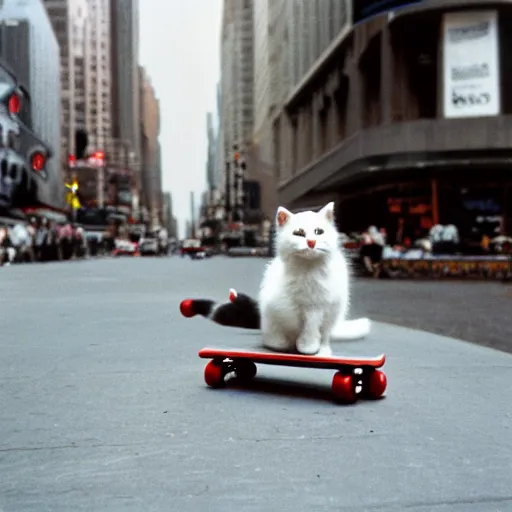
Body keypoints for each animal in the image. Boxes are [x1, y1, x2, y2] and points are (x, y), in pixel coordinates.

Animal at [258, 201, 370, 356]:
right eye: (299, 233)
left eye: (319, 232)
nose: (311, 242)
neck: (309, 270)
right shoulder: (291, 305)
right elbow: (295, 322)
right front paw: (300, 344)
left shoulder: (319, 307)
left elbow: (312, 327)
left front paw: (308, 347)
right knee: (274, 332)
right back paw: (279, 343)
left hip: (335, 311)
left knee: (325, 335)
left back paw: (323, 351)